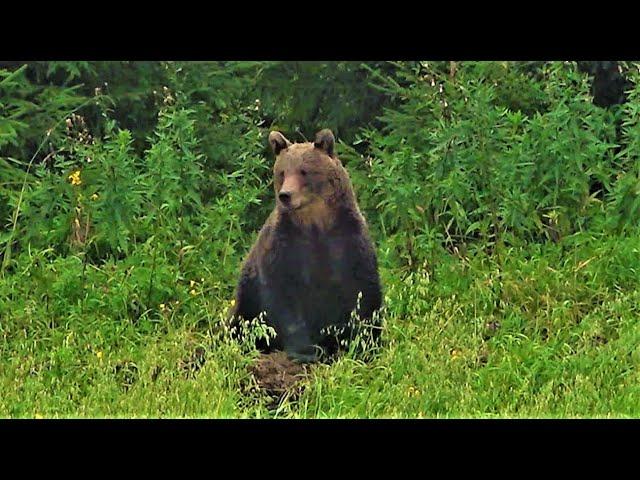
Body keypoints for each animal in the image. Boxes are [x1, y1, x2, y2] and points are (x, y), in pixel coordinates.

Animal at [229, 129, 380, 362]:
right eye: (282, 172)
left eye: (304, 171)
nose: (285, 195)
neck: (314, 222)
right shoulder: (285, 245)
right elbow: (284, 298)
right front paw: (304, 351)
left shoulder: (347, 241)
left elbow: (363, 291)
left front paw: (365, 344)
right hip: (246, 300)